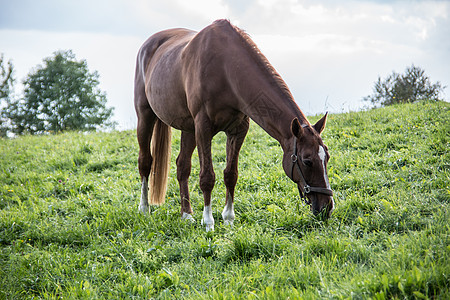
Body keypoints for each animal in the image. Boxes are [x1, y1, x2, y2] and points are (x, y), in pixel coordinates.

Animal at [134, 19, 334, 232]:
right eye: (307, 161)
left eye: (327, 157)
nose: (327, 208)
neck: (226, 68)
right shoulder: (203, 128)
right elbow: (207, 177)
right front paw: (209, 222)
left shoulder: (238, 130)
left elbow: (231, 174)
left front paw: (228, 218)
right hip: (146, 117)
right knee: (145, 162)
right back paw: (144, 209)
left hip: (188, 129)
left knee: (182, 166)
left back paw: (187, 215)